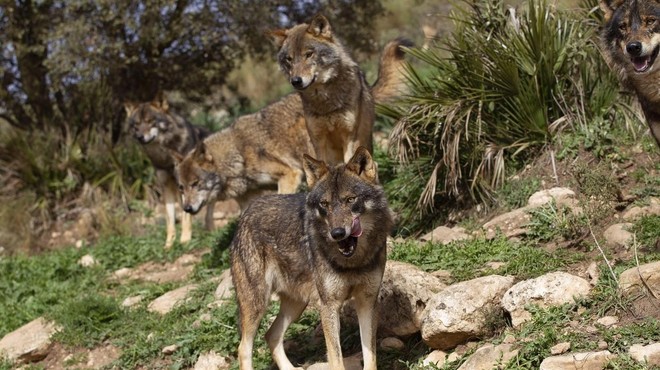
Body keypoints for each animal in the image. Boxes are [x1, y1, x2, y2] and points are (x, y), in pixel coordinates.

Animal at [125, 98, 213, 249]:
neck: (165, 156)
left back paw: (211, 231)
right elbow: (170, 219)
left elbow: (186, 217)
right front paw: (169, 245)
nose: (140, 136)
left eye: (150, 121)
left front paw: (185, 241)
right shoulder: (166, 186)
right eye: (136, 124)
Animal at [231, 147, 392, 370]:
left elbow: (370, 357)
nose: (337, 233)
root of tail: (245, 214)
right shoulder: (329, 307)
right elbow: (336, 359)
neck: (353, 262)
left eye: (350, 200)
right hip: (257, 304)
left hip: (296, 305)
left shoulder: (367, 302)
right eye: (324, 204)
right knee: (243, 349)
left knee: (271, 335)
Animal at [270, 15, 410, 163]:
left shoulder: (350, 138)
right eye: (289, 59)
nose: (296, 81)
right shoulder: (318, 140)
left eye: (309, 54)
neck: (325, 102)